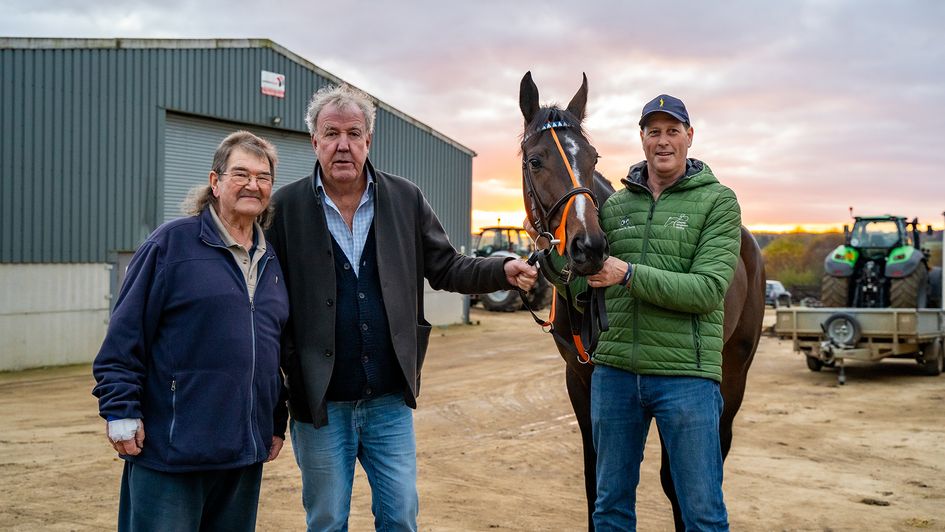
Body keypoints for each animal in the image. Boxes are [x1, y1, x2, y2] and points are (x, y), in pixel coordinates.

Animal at [516, 71, 768, 532]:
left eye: (593, 157)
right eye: (535, 160)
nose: (589, 247)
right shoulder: (581, 381)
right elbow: (596, 478)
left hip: (734, 371)